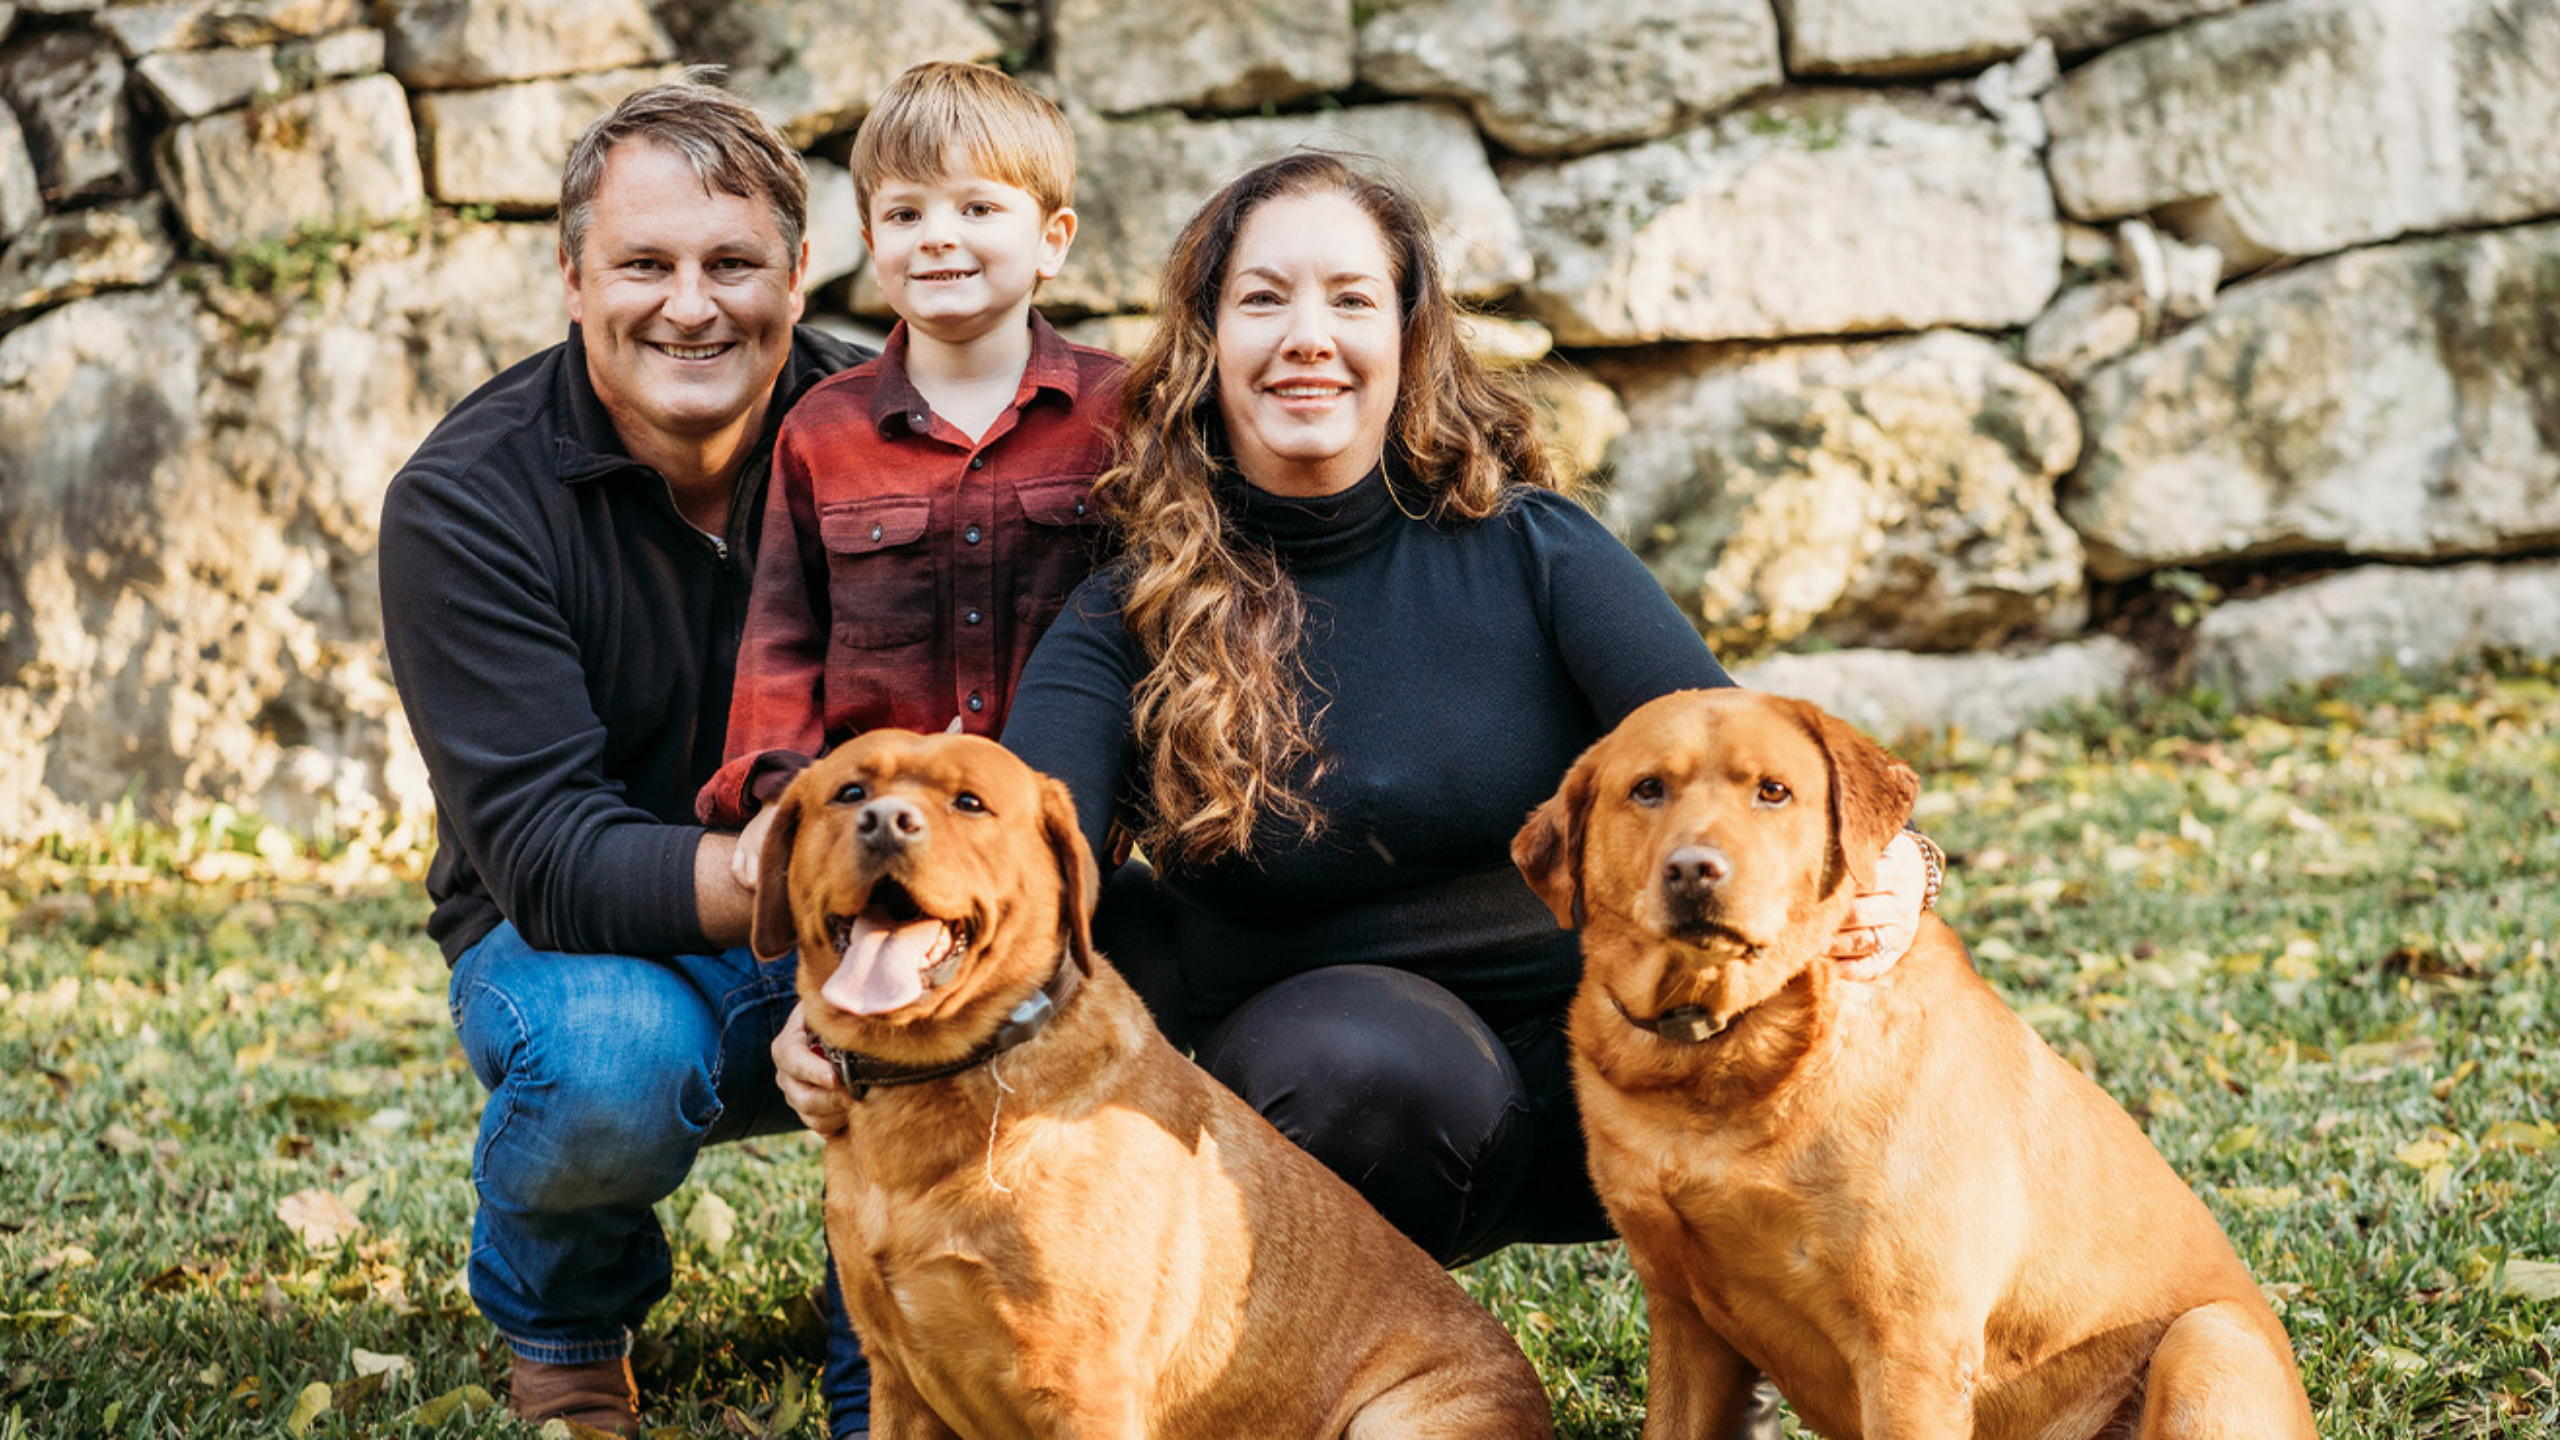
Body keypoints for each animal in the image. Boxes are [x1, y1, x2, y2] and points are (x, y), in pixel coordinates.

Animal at [742, 732, 1536, 1424]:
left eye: (969, 803)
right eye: (850, 792)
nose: (885, 823)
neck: (938, 1081)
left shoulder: (1083, 1389)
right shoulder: (899, 1379)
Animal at [1505, 686, 2314, 1434]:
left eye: (1773, 791)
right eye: (1647, 789)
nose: (1695, 870)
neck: (1726, 1059)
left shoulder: (1913, 1349)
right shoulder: (1685, 1318)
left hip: (2207, 1341)